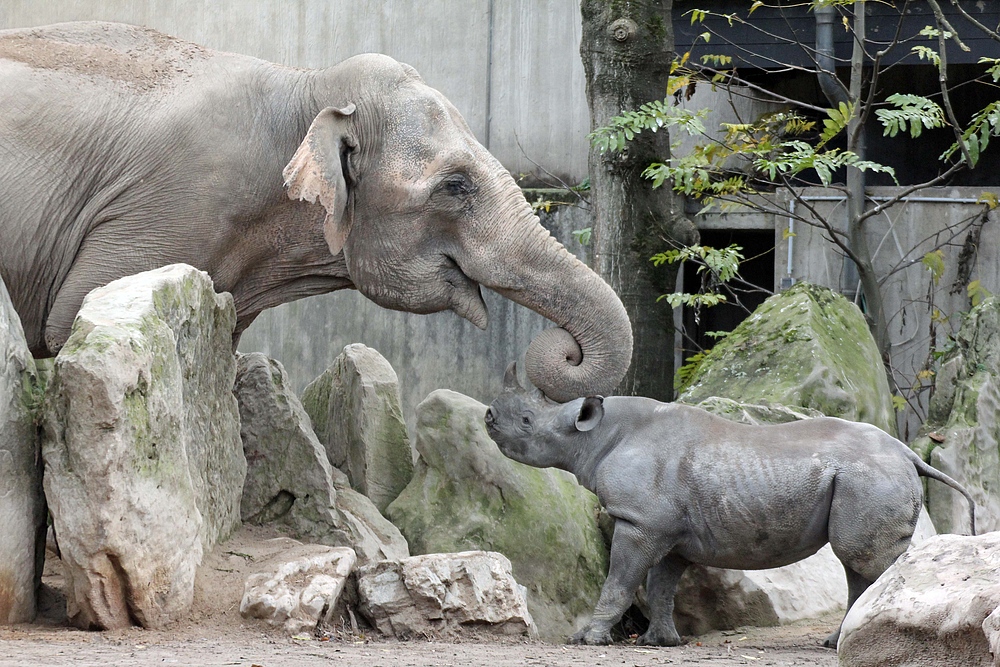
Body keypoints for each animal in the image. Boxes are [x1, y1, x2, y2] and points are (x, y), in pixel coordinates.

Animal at [484, 366, 976, 648]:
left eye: (526, 422)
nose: (488, 418)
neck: (595, 434)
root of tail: (907, 453)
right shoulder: (669, 529)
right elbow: (661, 584)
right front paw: (659, 642)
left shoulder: (639, 521)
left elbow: (619, 579)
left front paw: (586, 639)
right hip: (868, 477)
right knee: (857, 564)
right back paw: (835, 644)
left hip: (869, 477)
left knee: (860, 556)